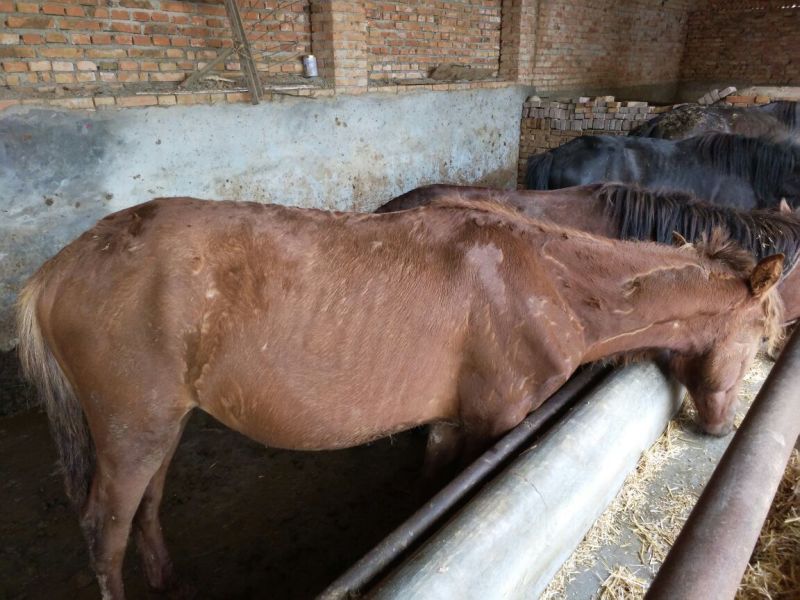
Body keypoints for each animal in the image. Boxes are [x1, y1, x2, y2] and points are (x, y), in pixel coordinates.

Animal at [17, 197, 783, 599]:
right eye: (761, 333)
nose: (720, 429)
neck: (551, 281)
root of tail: (56, 271)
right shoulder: (493, 422)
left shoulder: (447, 423)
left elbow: (427, 490)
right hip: (130, 428)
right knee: (106, 528)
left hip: (160, 426)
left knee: (146, 504)